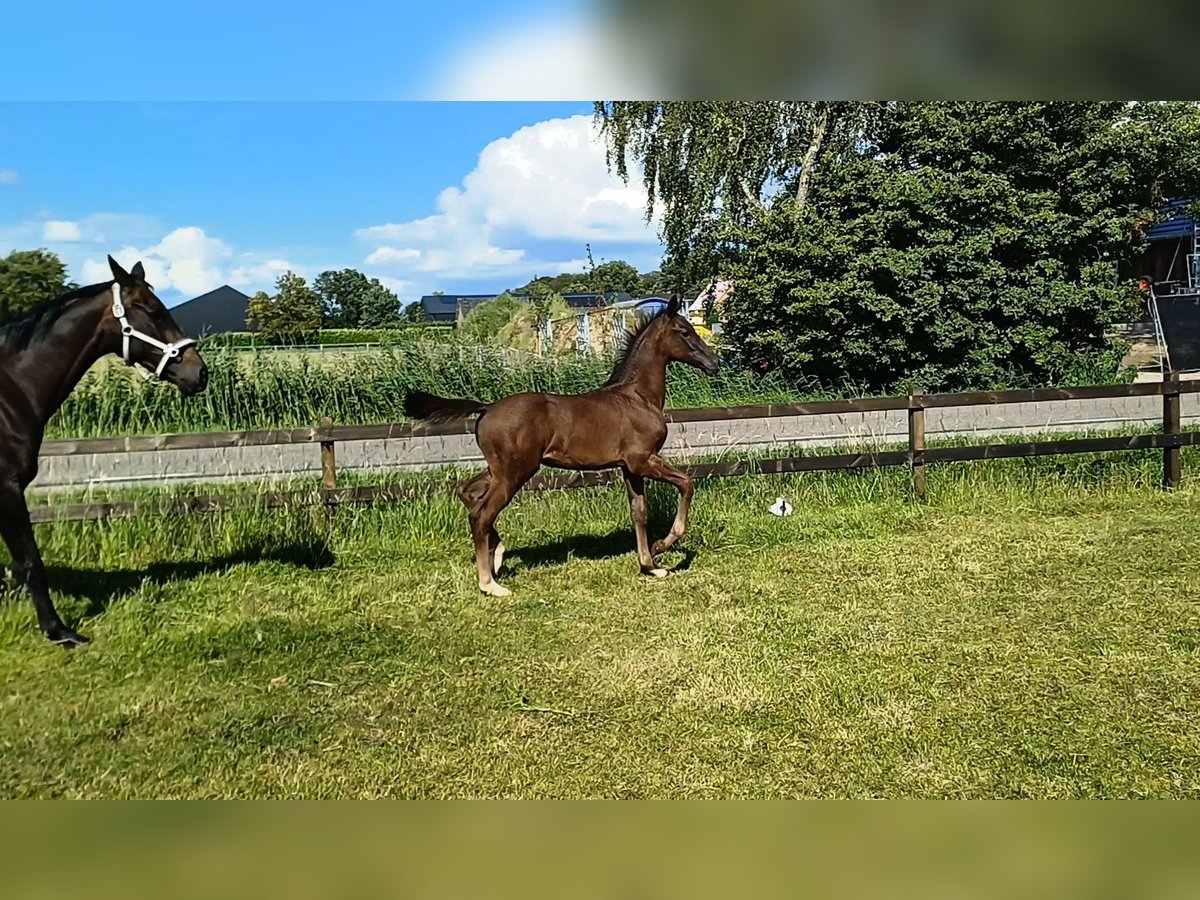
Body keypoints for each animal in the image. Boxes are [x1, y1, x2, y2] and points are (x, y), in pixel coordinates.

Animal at [1, 256, 208, 643]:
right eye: (153, 311)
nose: (199, 373)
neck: (11, 393)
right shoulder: (6, 489)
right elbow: (31, 562)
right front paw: (58, 631)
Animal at [408, 296, 715, 602]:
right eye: (685, 332)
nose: (715, 362)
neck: (638, 398)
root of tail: (486, 407)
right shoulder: (643, 460)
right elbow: (686, 484)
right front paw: (663, 544)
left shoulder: (630, 467)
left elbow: (639, 513)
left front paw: (650, 565)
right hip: (515, 472)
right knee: (481, 515)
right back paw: (490, 583)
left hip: (498, 470)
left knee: (468, 494)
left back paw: (497, 556)